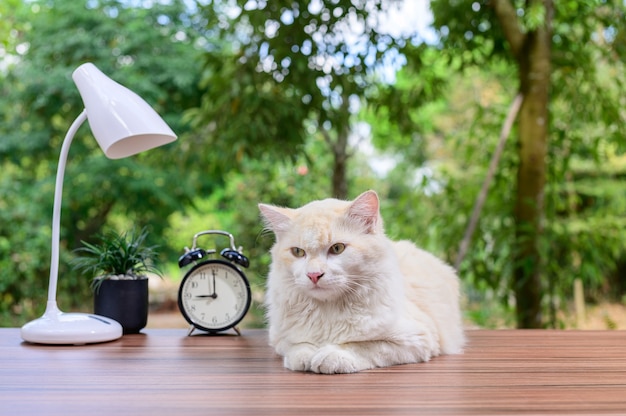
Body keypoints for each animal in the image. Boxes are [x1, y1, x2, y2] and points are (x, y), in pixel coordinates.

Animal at [258, 189, 464, 374]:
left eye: (337, 248)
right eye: (298, 252)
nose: (314, 275)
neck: (329, 310)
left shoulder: (417, 338)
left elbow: (362, 346)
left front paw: (331, 356)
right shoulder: (278, 337)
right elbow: (298, 345)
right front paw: (307, 356)